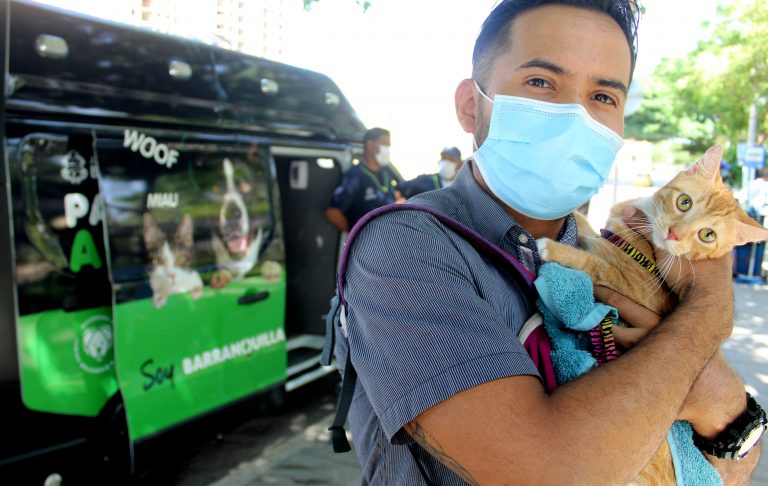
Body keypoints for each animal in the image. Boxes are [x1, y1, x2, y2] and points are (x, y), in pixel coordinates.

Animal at [536, 145, 768, 486]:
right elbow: (589, 229)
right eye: (684, 202)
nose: (673, 234)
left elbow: (593, 264)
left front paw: (552, 248)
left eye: (707, 235)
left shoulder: (624, 280)